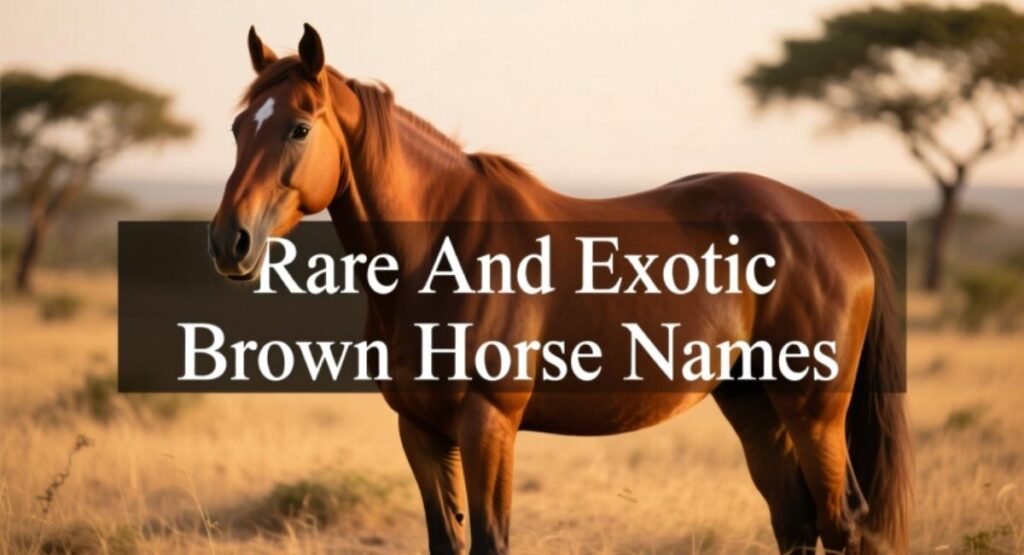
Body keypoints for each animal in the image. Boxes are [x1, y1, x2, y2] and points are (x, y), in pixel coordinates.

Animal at [208, 24, 911, 554]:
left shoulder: (488, 423)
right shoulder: (420, 429)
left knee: (842, 521)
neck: (444, 247)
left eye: (299, 128)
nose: (229, 242)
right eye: (238, 128)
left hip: (814, 410)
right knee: (795, 521)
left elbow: (490, 542)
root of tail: (835, 218)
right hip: (752, 403)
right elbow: (446, 542)